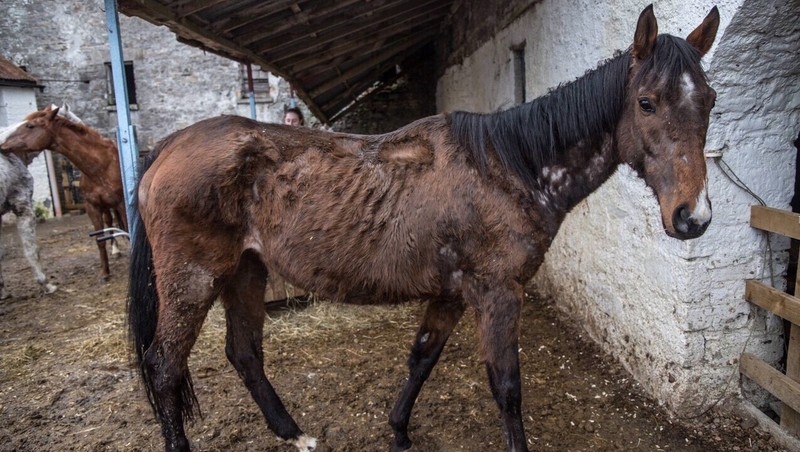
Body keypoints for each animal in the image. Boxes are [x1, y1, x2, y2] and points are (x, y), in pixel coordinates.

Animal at [0, 105, 128, 281]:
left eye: (30, 125)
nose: (2, 144)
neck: (101, 164)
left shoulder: (122, 204)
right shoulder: (92, 206)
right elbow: (99, 239)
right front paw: (104, 272)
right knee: (109, 222)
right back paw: (115, 250)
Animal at [126, 5, 719, 452]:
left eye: (710, 100)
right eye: (646, 102)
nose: (693, 217)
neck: (510, 167)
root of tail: (169, 146)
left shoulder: (453, 294)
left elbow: (421, 359)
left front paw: (399, 432)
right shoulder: (498, 293)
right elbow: (507, 388)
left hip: (244, 273)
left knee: (245, 353)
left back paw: (294, 433)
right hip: (193, 280)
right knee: (163, 364)